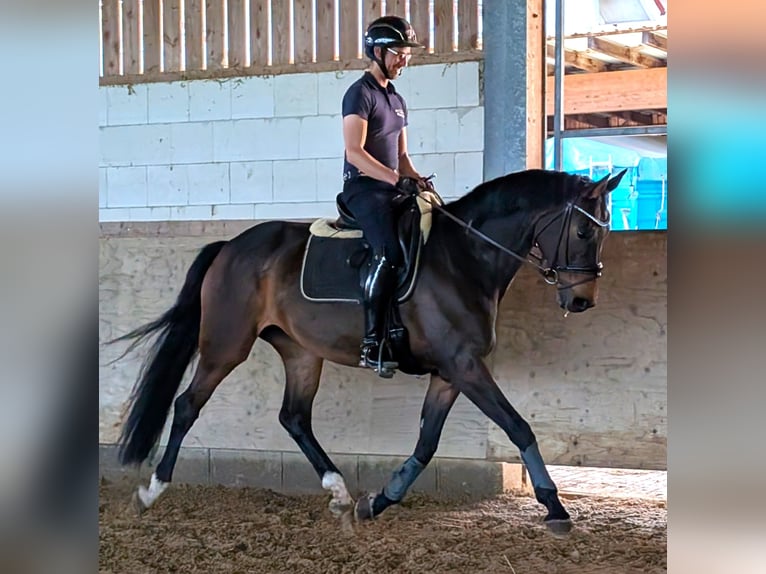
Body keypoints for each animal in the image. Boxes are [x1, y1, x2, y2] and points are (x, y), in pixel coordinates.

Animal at [110, 167, 626, 535]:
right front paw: (554, 506)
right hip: (226, 346)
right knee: (187, 405)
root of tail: (229, 246)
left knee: (294, 417)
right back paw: (151, 491)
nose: (582, 300)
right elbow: (518, 427)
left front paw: (378, 501)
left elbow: (426, 443)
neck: (464, 257)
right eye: (584, 232)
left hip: (301, 352)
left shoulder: (449, 372)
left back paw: (339, 492)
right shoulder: (464, 365)